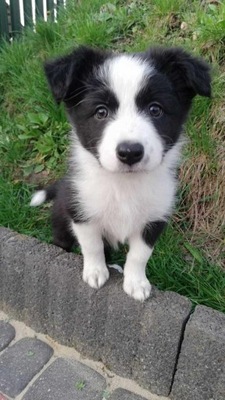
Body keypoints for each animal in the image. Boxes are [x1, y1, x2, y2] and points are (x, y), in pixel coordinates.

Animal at [30, 46, 211, 300]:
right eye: (101, 112)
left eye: (155, 109)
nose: (130, 152)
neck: (124, 183)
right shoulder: (82, 211)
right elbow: (92, 245)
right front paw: (95, 272)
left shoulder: (155, 218)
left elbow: (140, 254)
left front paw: (136, 283)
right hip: (62, 213)